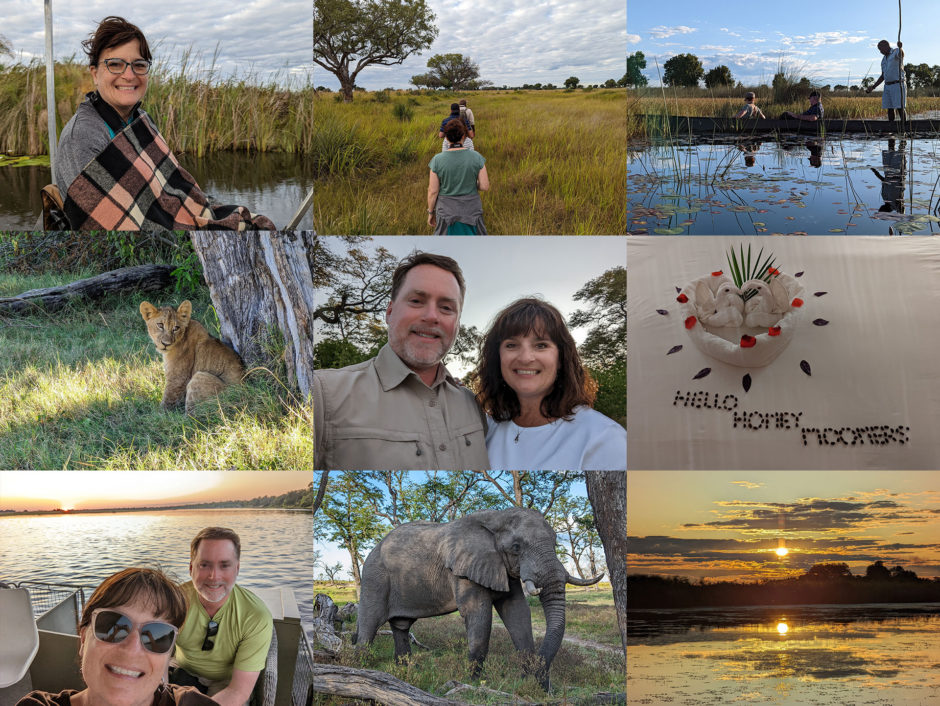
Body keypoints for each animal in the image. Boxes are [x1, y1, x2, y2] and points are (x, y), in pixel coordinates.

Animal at [350, 506, 604, 688]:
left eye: (554, 542)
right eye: (516, 547)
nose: (539, 682)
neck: (497, 517)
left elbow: (517, 612)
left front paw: (527, 681)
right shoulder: (463, 569)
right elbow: (478, 612)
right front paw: (475, 683)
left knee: (401, 626)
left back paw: (406, 670)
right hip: (374, 577)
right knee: (370, 624)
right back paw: (360, 668)